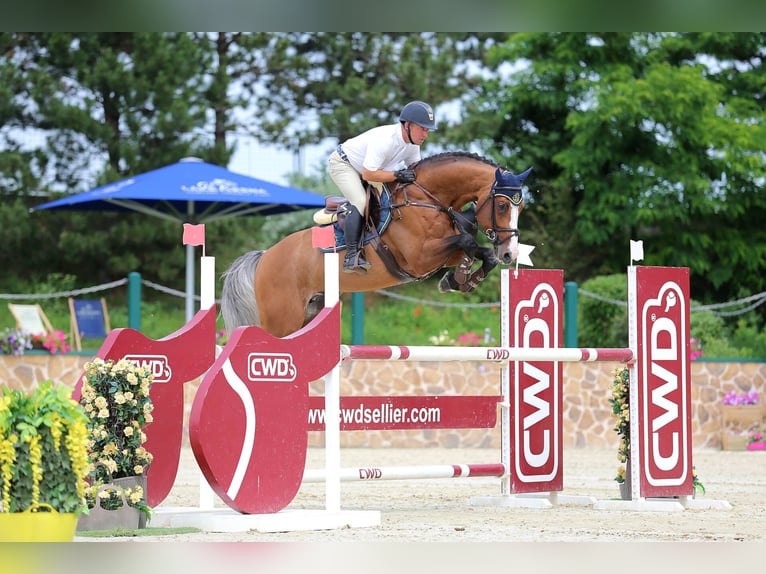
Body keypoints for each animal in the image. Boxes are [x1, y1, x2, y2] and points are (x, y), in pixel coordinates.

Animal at [222, 153, 536, 340]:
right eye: (501, 205)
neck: (426, 199)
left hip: (309, 312)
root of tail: (265, 257)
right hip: (282, 320)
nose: (510, 253)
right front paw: (459, 278)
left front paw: (459, 280)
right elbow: (468, 240)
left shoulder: (439, 254)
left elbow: (477, 251)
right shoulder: (420, 258)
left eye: (521, 207)